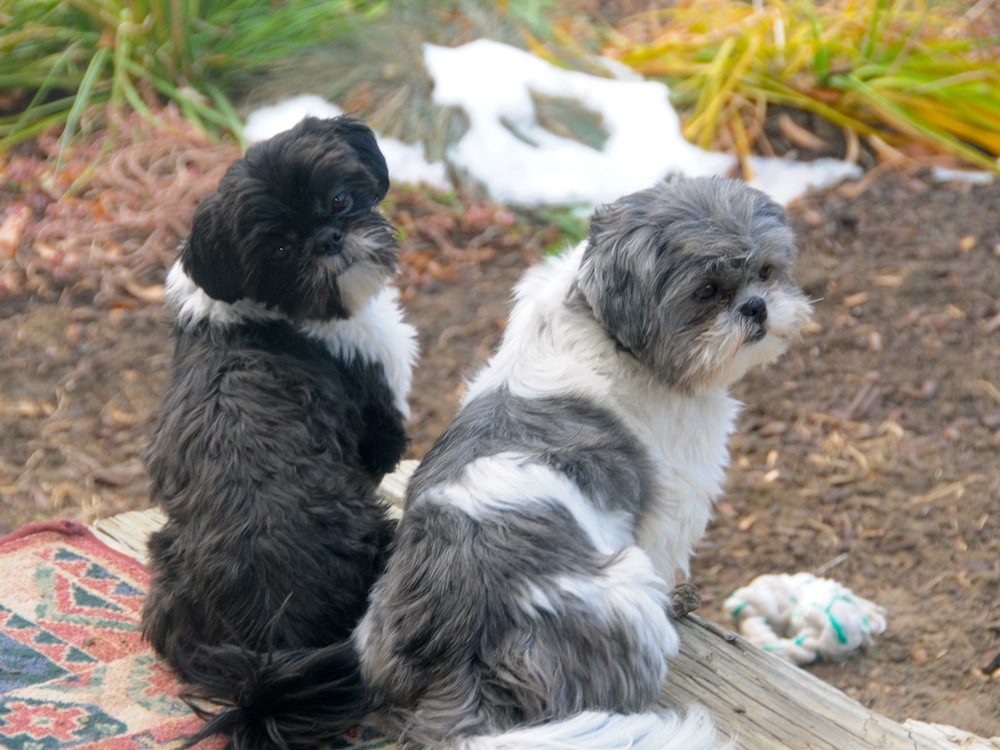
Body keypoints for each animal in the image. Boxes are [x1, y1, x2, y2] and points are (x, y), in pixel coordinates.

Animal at [186, 178, 812, 750]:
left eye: (767, 272)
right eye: (709, 290)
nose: (756, 307)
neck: (602, 327)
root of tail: (465, 652)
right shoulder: (674, 500)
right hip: (627, 593)